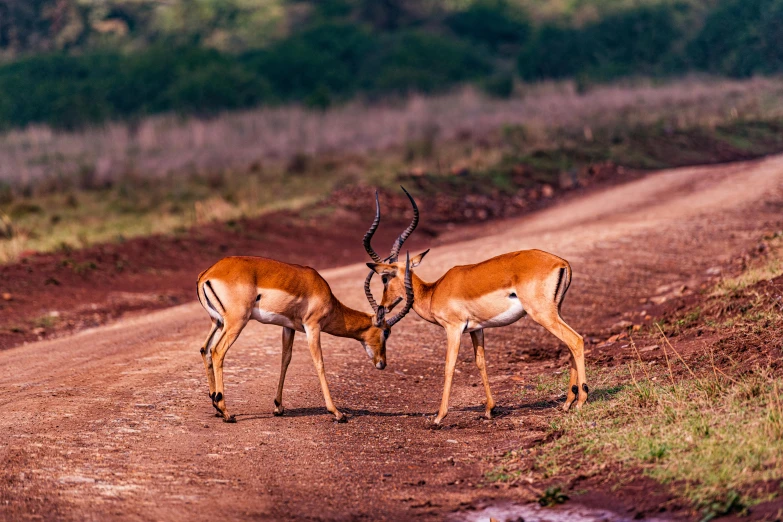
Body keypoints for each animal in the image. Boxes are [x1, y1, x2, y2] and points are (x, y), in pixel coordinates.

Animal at [195, 201, 416, 420]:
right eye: (386, 332)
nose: (382, 363)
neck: (323, 292)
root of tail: (208, 273)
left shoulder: (288, 327)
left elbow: (285, 359)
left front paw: (278, 407)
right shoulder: (313, 326)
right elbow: (319, 362)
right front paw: (337, 412)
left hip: (218, 322)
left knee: (205, 349)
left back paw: (216, 406)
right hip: (237, 321)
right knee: (217, 351)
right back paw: (226, 412)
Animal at [364, 191, 584, 422]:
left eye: (385, 279)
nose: (383, 307)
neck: (433, 291)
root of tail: (561, 262)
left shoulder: (453, 328)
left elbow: (449, 365)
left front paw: (439, 417)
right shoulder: (476, 329)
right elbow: (481, 362)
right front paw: (489, 409)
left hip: (543, 314)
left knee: (575, 340)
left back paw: (580, 402)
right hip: (556, 312)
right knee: (570, 343)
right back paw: (568, 402)